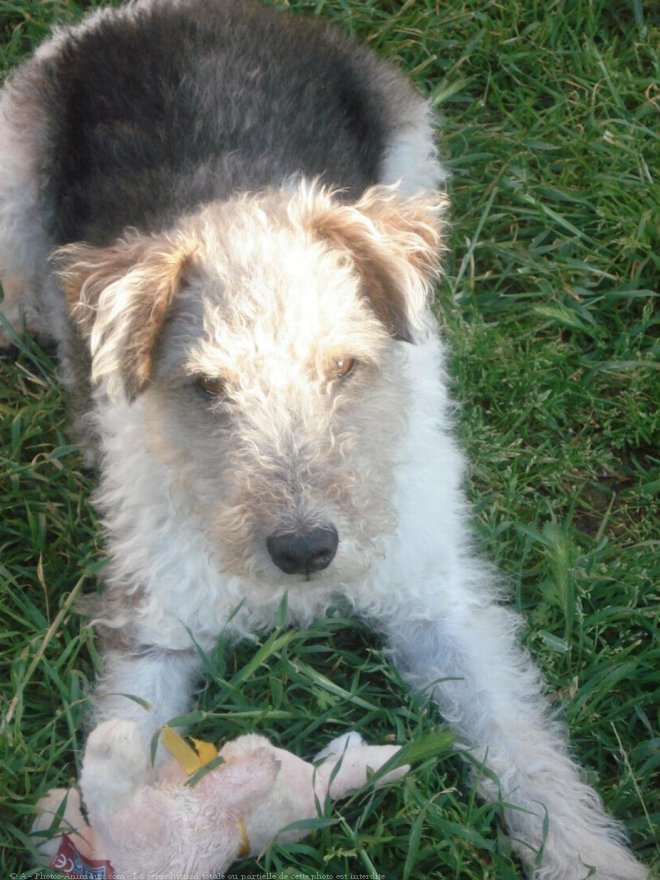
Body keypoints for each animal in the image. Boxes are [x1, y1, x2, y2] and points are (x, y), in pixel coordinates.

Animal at [0, 0, 648, 876]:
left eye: (344, 366)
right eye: (207, 386)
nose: (305, 552)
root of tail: (168, 10)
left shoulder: (436, 600)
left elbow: (523, 746)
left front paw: (588, 856)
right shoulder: (157, 624)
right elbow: (129, 732)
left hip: (412, 151)